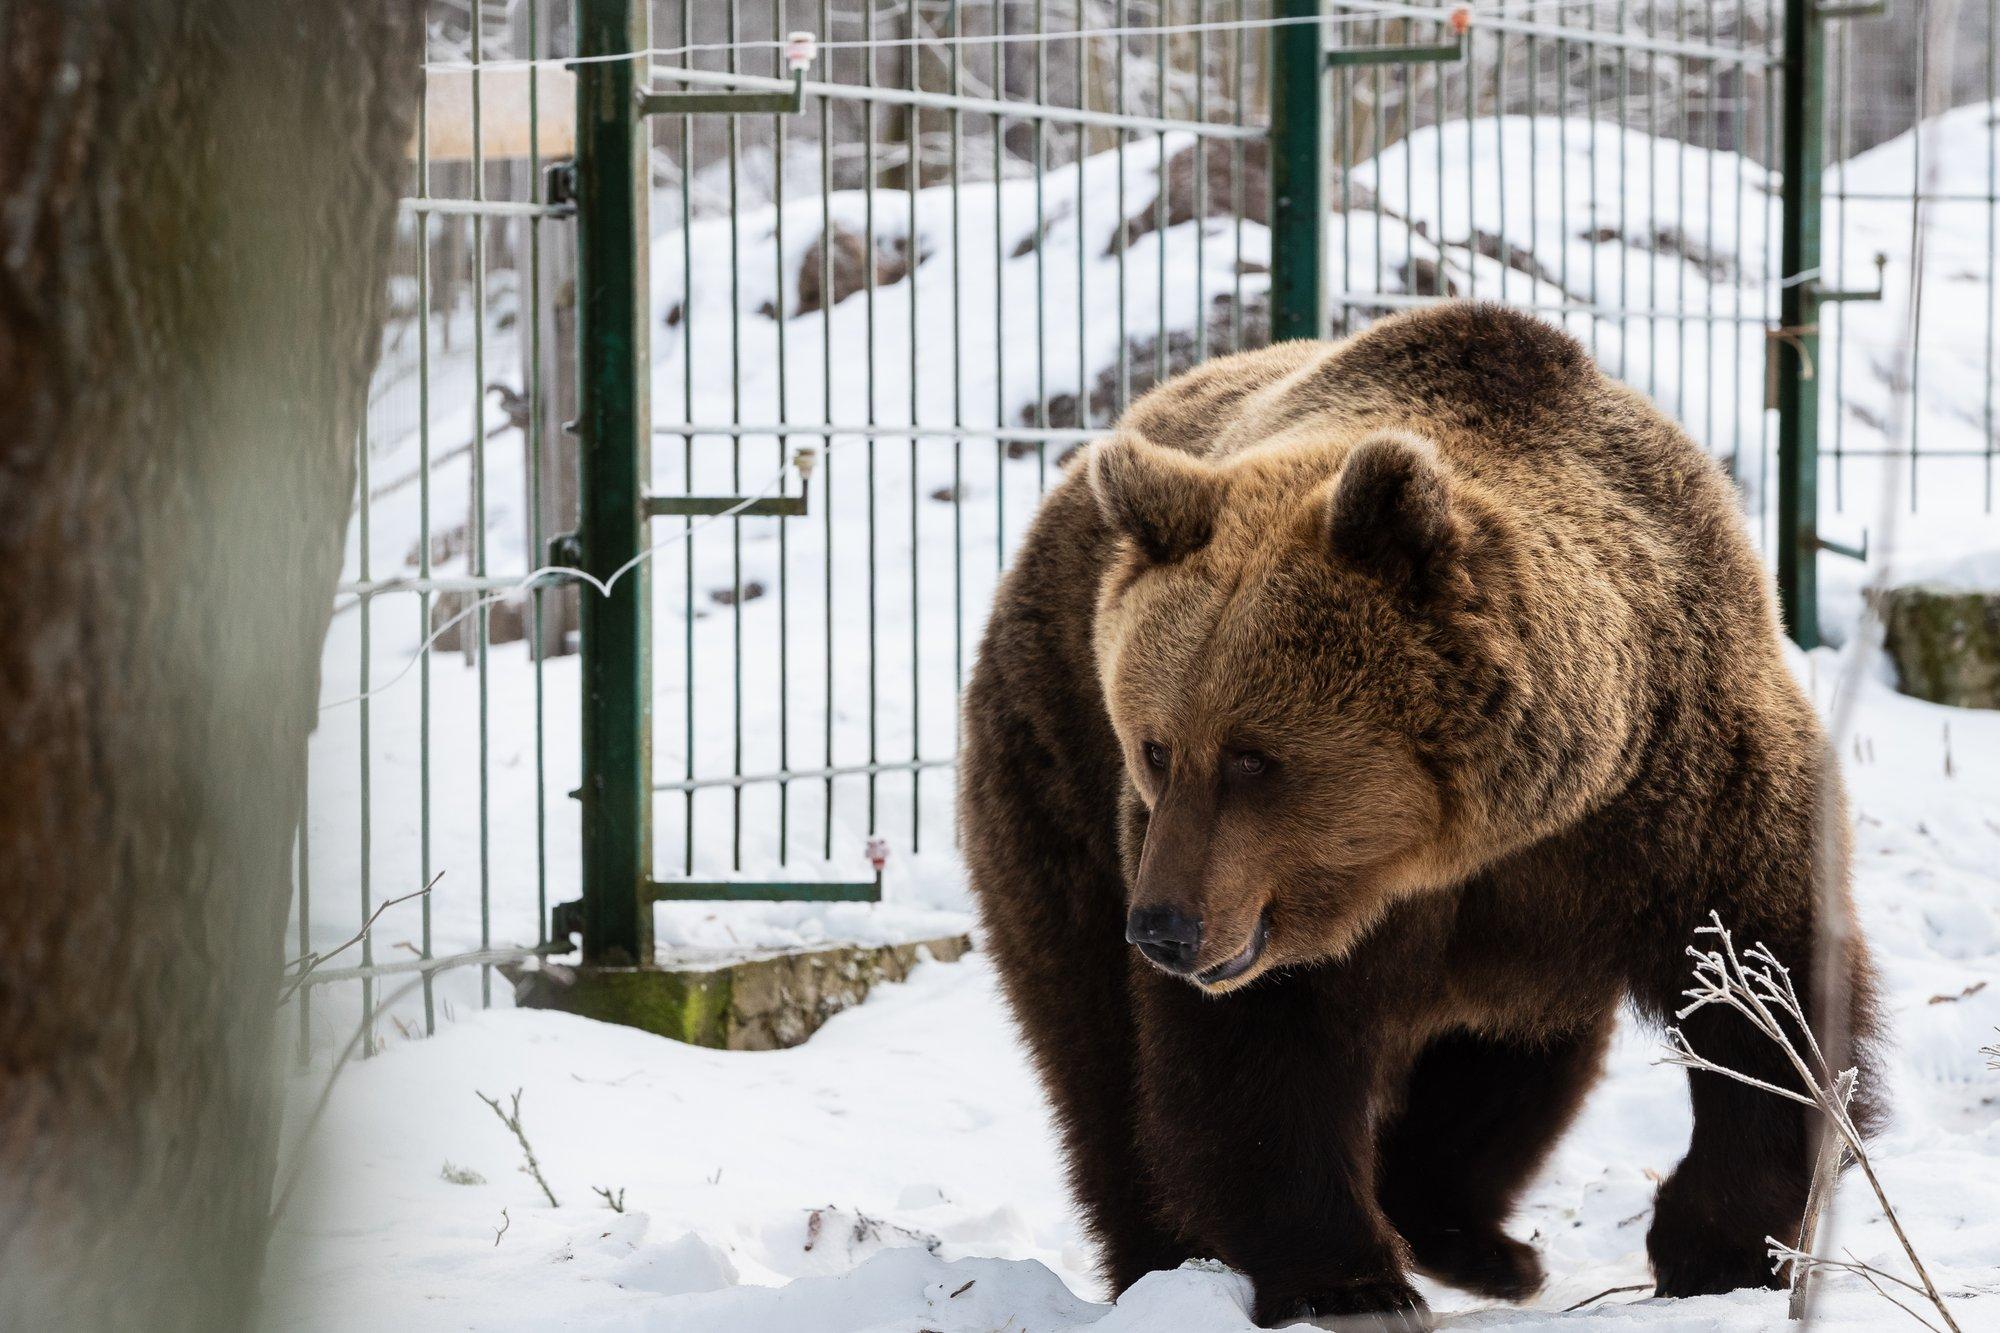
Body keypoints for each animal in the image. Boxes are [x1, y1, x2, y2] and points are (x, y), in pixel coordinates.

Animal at [960, 304, 1880, 1328]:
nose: (1163, 927)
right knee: (1095, 1044)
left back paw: (1475, 1240)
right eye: (1158, 747)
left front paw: (1715, 1247)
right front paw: (1349, 1277)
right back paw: (1163, 1257)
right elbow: (1255, 1062)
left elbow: (1770, 998)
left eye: (1253, 756)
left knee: (1512, 1059)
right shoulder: (1269, 903)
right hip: (1054, 761)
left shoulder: (1674, 806)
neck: (1464, 840)